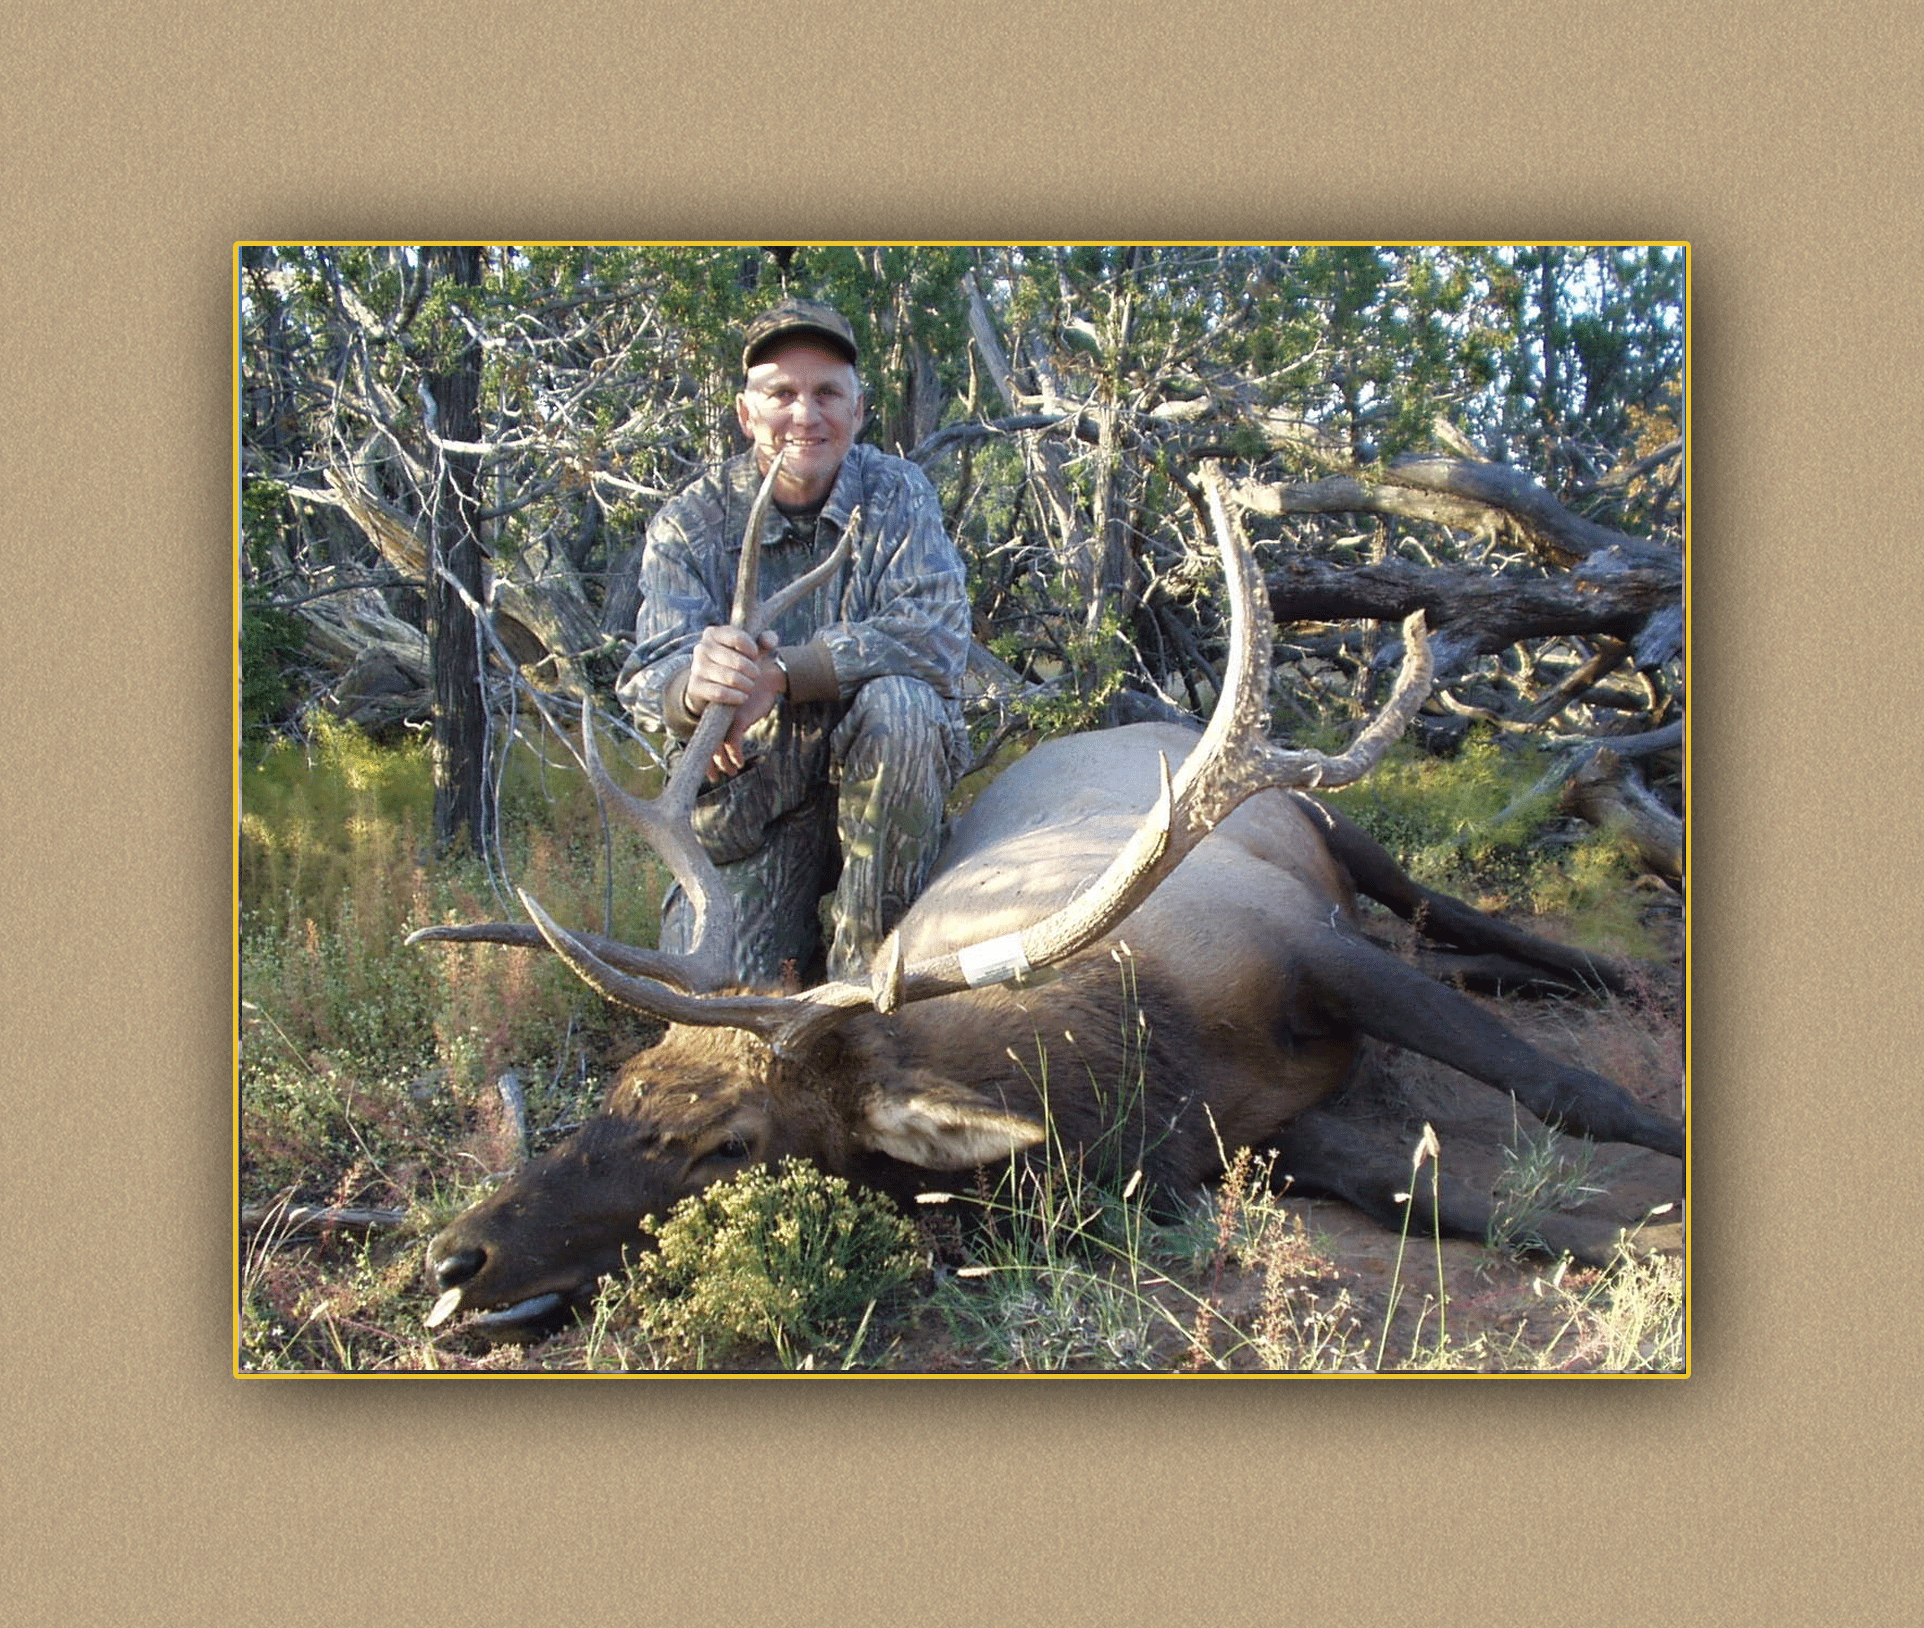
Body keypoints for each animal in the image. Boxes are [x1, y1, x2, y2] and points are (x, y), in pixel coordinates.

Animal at [411, 461, 1685, 1342]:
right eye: (621, 1085)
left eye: (727, 1142)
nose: (456, 1255)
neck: (1122, 1065)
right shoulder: (1253, 1129)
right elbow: (1455, 1202)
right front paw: (1642, 1236)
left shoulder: (1304, 947)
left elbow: (1572, 1092)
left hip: (1336, 827)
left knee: (1453, 915)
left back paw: (1627, 971)